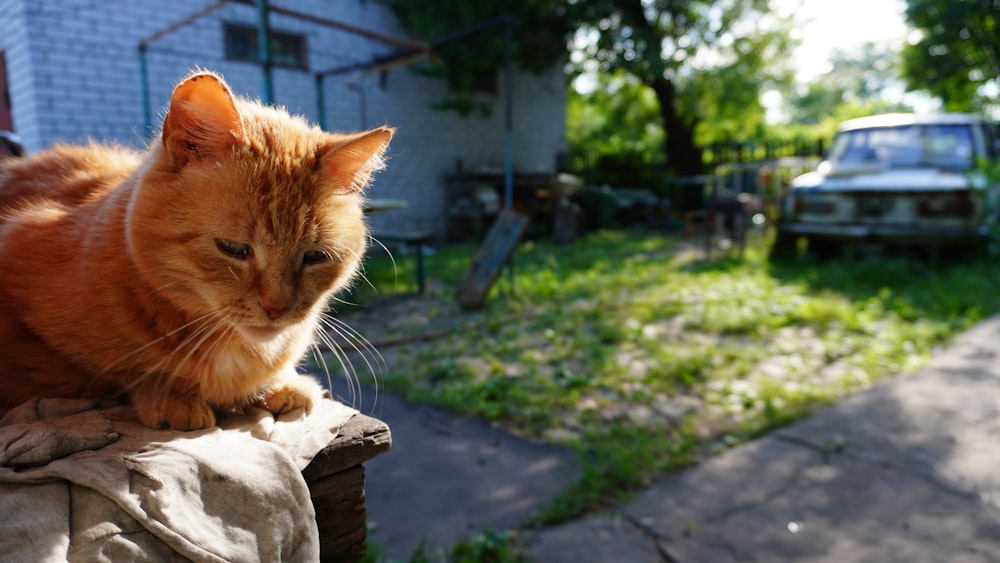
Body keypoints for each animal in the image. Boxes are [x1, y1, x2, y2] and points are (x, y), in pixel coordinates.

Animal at [0, 71, 392, 432]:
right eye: (234, 249)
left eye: (314, 257)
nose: (276, 309)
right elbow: (122, 369)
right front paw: (171, 394)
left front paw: (278, 384)